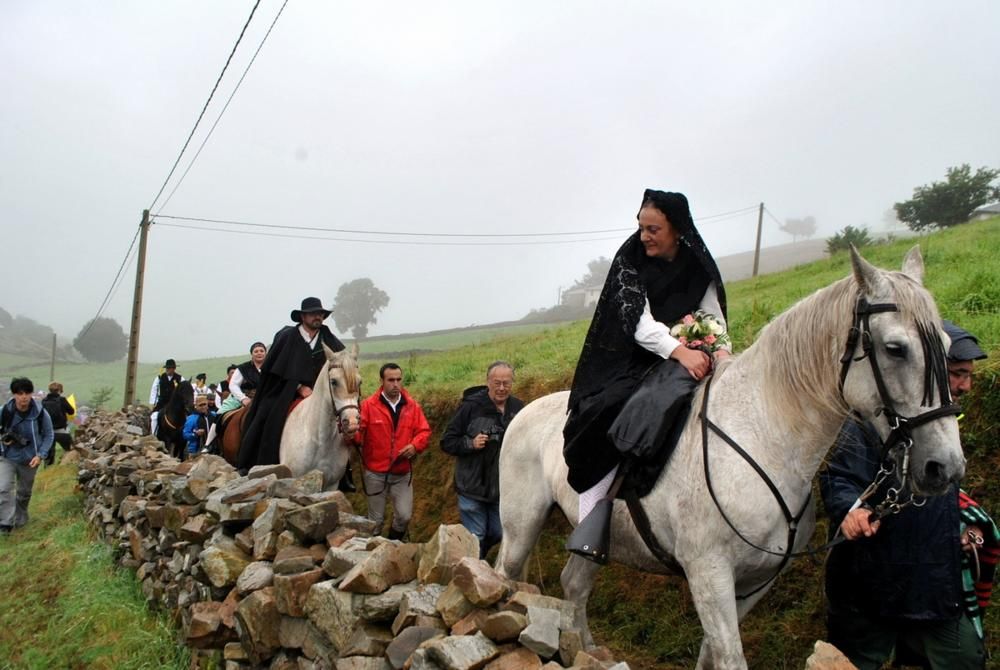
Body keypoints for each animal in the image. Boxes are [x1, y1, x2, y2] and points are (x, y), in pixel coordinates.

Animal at [496, 248, 964, 670]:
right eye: (895, 348)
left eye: (944, 344)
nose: (944, 467)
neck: (762, 437)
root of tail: (523, 412)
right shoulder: (709, 575)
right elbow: (729, 657)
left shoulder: (753, 584)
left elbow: (712, 655)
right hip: (521, 526)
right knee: (506, 578)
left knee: (573, 585)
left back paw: (586, 649)